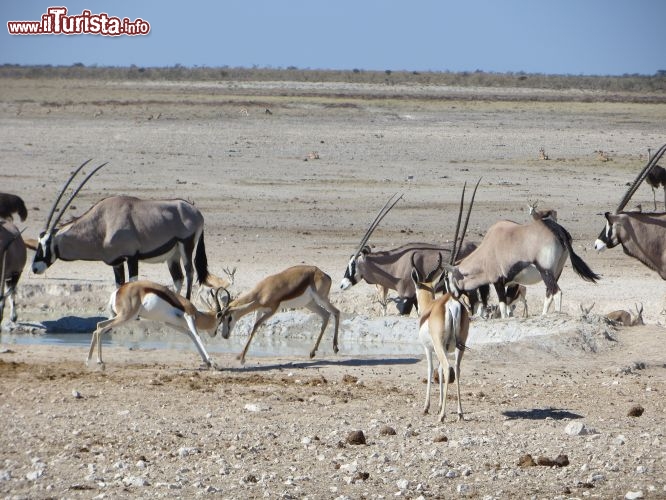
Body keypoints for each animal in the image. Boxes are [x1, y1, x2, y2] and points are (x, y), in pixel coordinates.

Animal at [31, 162, 224, 298]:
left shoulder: (131, 257)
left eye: (47, 243)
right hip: (173, 255)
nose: (34, 268)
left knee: (190, 274)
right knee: (179, 278)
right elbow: (119, 285)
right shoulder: (116, 262)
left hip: (186, 245)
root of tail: (196, 212)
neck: (102, 224)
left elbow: (132, 283)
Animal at [88, 284, 228, 370]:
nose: (216, 334)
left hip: (121, 317)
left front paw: (207, 362)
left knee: (98, 326)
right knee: (100, 329)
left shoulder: (170, 323)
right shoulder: (189, 317)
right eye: (220, 319)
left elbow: (191, 336)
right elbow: (197, 337)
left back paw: (89, 359)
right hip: (126, 317)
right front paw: (214, 363)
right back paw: (98, 361)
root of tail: (117, 291)